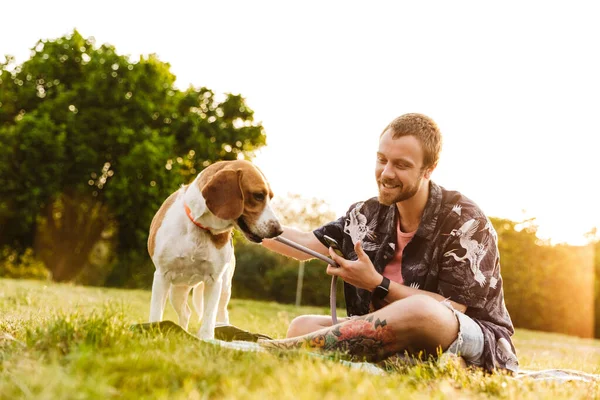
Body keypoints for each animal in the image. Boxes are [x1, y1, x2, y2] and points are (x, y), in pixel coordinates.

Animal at [148, 161, 284, 340]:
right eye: (258, 195)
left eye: (271, 197)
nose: (279, 230)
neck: (199, 227)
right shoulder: (162, 275)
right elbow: (156, 314)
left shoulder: (214, 281)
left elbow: (208, 319)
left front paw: (206, 340)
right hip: (176, 290)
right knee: (185, 313)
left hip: (224, 288)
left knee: (219, 315)